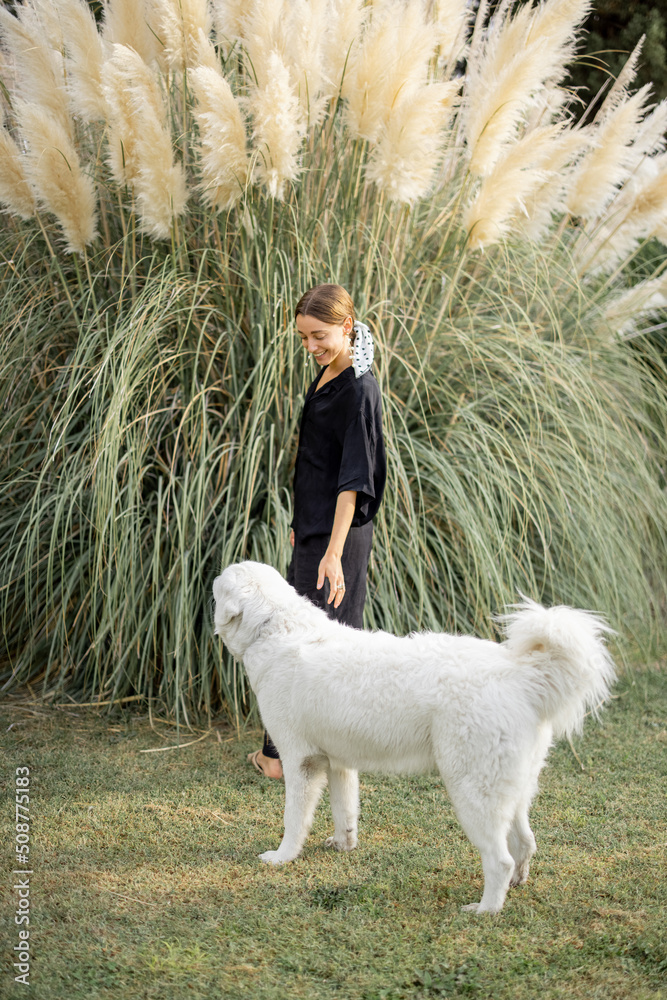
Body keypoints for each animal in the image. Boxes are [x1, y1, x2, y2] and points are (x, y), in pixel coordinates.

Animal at [214, 564, 616, 916]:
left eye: (217, 585)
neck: (275, 628)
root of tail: (522, 675)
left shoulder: (301, 762)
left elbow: (294, 819)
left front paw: (282, 857)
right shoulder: (339, 763)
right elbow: (345, 811)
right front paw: (344, 845)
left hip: (472, 792)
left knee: (499, 859)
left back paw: (485, 910)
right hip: (512, 791)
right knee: (524, 844)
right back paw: (516, 885)